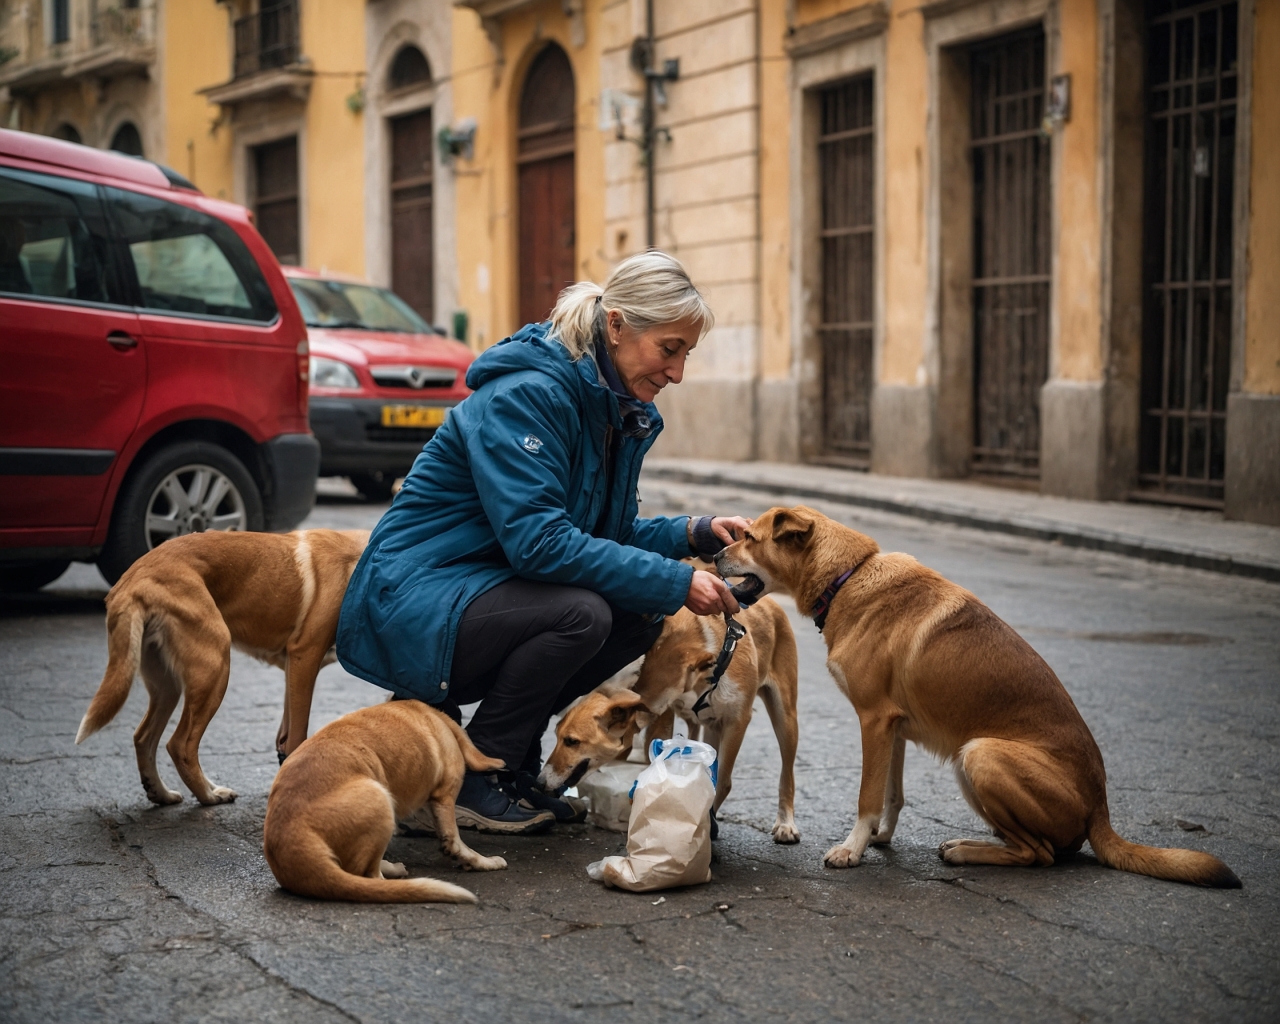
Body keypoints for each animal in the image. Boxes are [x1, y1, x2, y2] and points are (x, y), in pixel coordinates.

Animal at [74, 527, 368, 808]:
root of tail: (134, 579)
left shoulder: (292, 670)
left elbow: (284, 737)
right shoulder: (304, 656)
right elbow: (297, 736)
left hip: (168, 685)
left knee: (144, 737)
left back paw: (163, 793)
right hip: (215, 667)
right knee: (180, 745)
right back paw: (208, 796)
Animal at [262, 696, 506, 906]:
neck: (430, 714)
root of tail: (289, 839)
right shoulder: (444, 796)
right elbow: (456, 841)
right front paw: (482, 861)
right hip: (380, 798)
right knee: (369, 877)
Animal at [632, 596, 798, 844]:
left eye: (646, 705)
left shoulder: (737, 722)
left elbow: (722, 782)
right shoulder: (672, 714)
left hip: (785, 719)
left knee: (787, 775)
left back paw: (786, 823)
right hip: (712, 728)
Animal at [711, 506, 1239, 885]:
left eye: (749, 538)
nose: (713, 555)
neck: (848, 577)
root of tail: (1100, 807)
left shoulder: (874, 721)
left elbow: (866, 796)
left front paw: (852, 849)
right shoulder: (893, 728)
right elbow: (892, 794)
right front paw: (880, 838)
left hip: (979, 755)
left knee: (1040, 855)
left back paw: (967, 851)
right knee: (1041, 848)